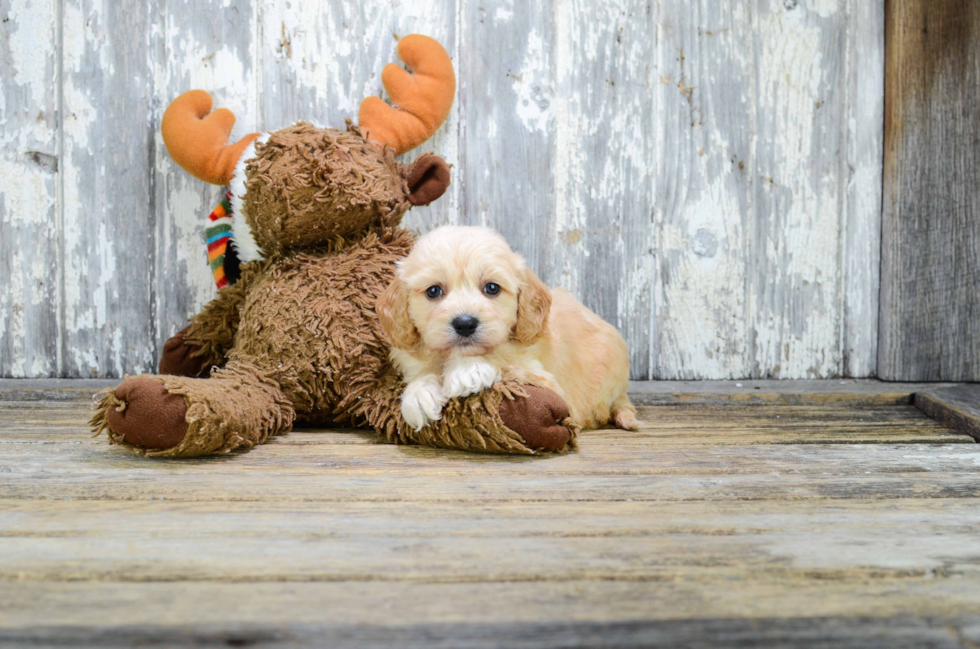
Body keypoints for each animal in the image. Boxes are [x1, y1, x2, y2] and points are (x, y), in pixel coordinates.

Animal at [374, 225, 636, 432]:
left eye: (492, 288)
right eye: (433, 291)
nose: (465, 324)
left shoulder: (553, 389)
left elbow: (503, 360)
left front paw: (470, 369)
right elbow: (423, 373)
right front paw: (419, 394)